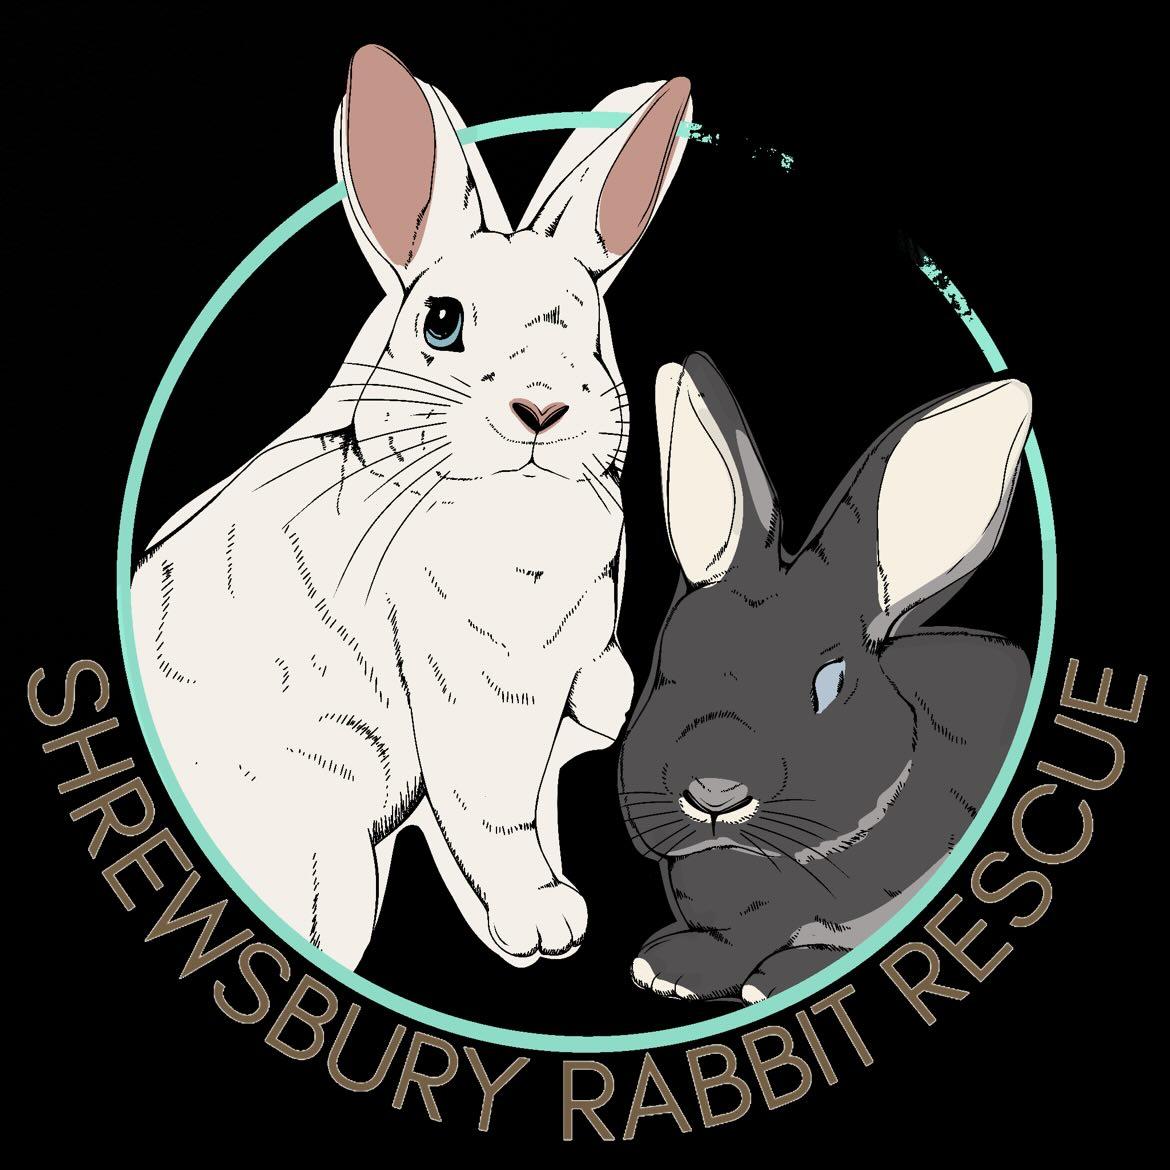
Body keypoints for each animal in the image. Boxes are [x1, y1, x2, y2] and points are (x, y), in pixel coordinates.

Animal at [131, 45, 692, 970]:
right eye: (441, 323)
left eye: (589, 331)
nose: (542, 408)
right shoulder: (474, 686)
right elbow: (493, 816)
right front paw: (546, 921)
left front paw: (611, 708)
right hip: (330, 870)